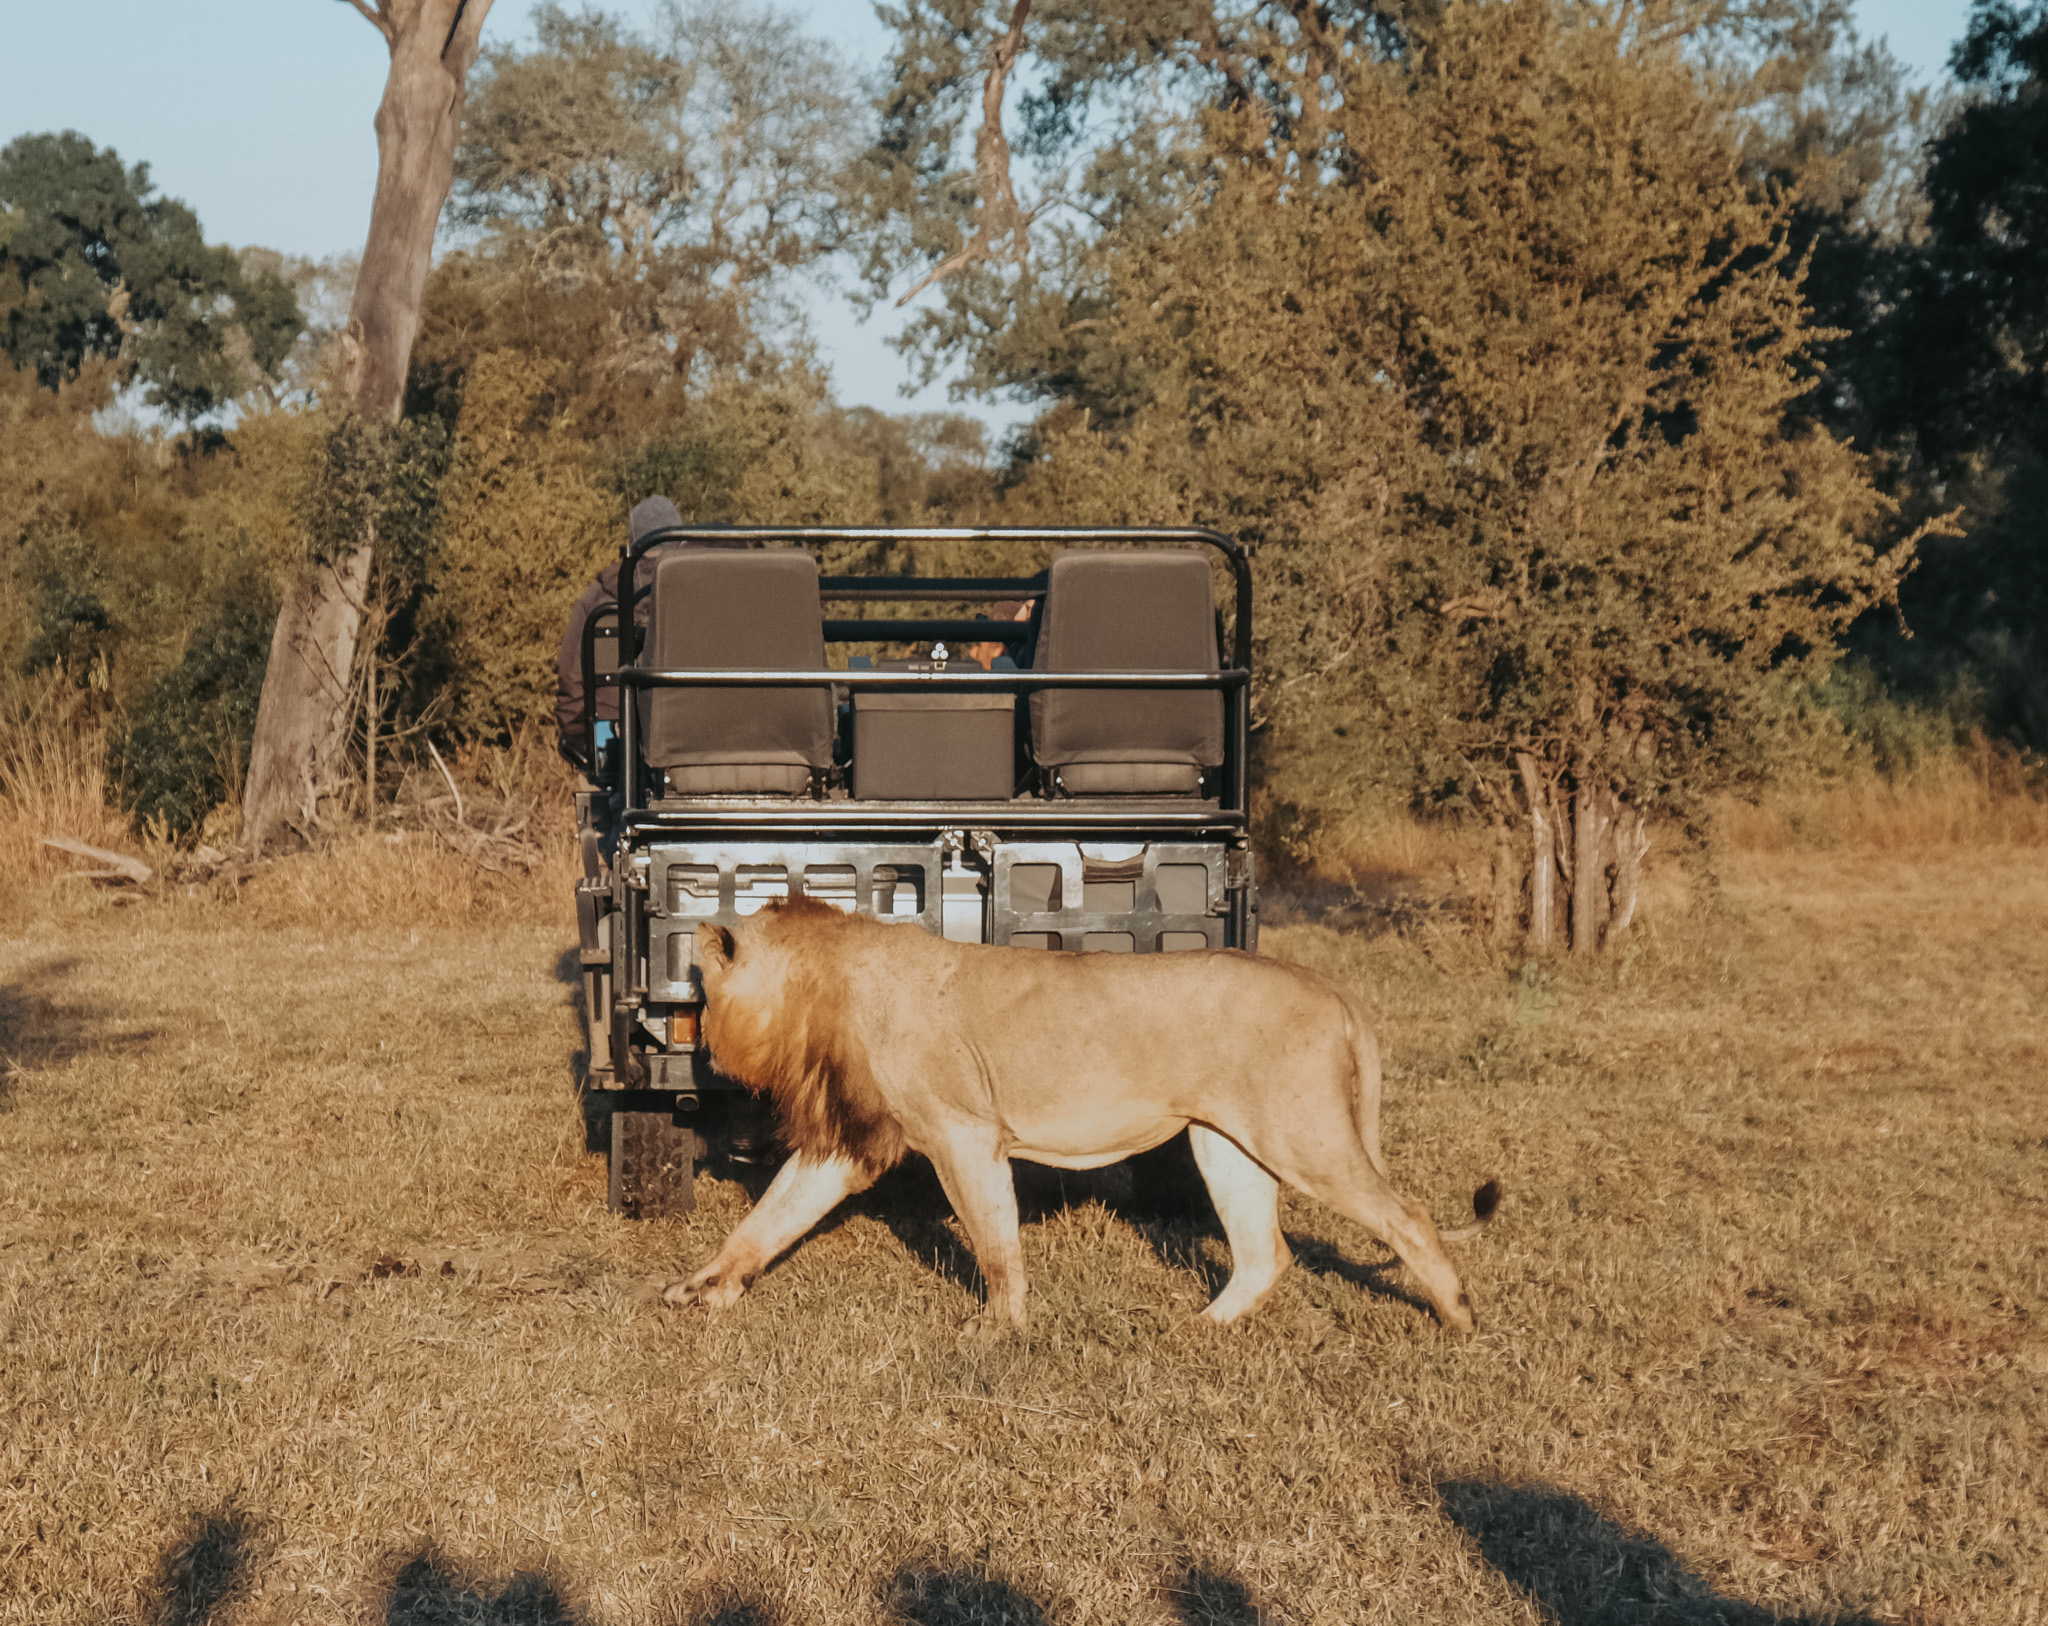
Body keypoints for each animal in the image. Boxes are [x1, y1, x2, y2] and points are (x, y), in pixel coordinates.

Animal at [663, 892, 1499, 1335]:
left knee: (1408, 1214)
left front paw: (997, 1330)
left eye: (701, 990)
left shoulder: (963, 1134)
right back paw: (1198, 1330)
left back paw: (1458, 1318)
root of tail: (1333, 991)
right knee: (1266, 1252)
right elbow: (767, 1220)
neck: (832, 984)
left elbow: (995, 1243)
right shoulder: (849, 1144)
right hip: (1227, 1143)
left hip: (1305, 1135)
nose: (700, 1045)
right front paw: (705, 1289)